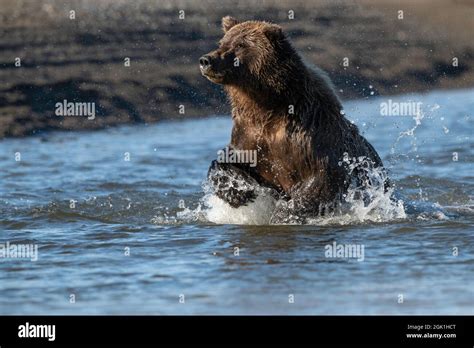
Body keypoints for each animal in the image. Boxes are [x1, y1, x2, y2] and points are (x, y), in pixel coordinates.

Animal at [198, 16, 386, 223]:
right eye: (222, 42)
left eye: (240, 45)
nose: (206, 60)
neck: (266, 105)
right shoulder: (249, 133)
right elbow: (228, 160)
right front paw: (237, 191)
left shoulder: (309, 135)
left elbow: (322, 179)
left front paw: (285, 214)